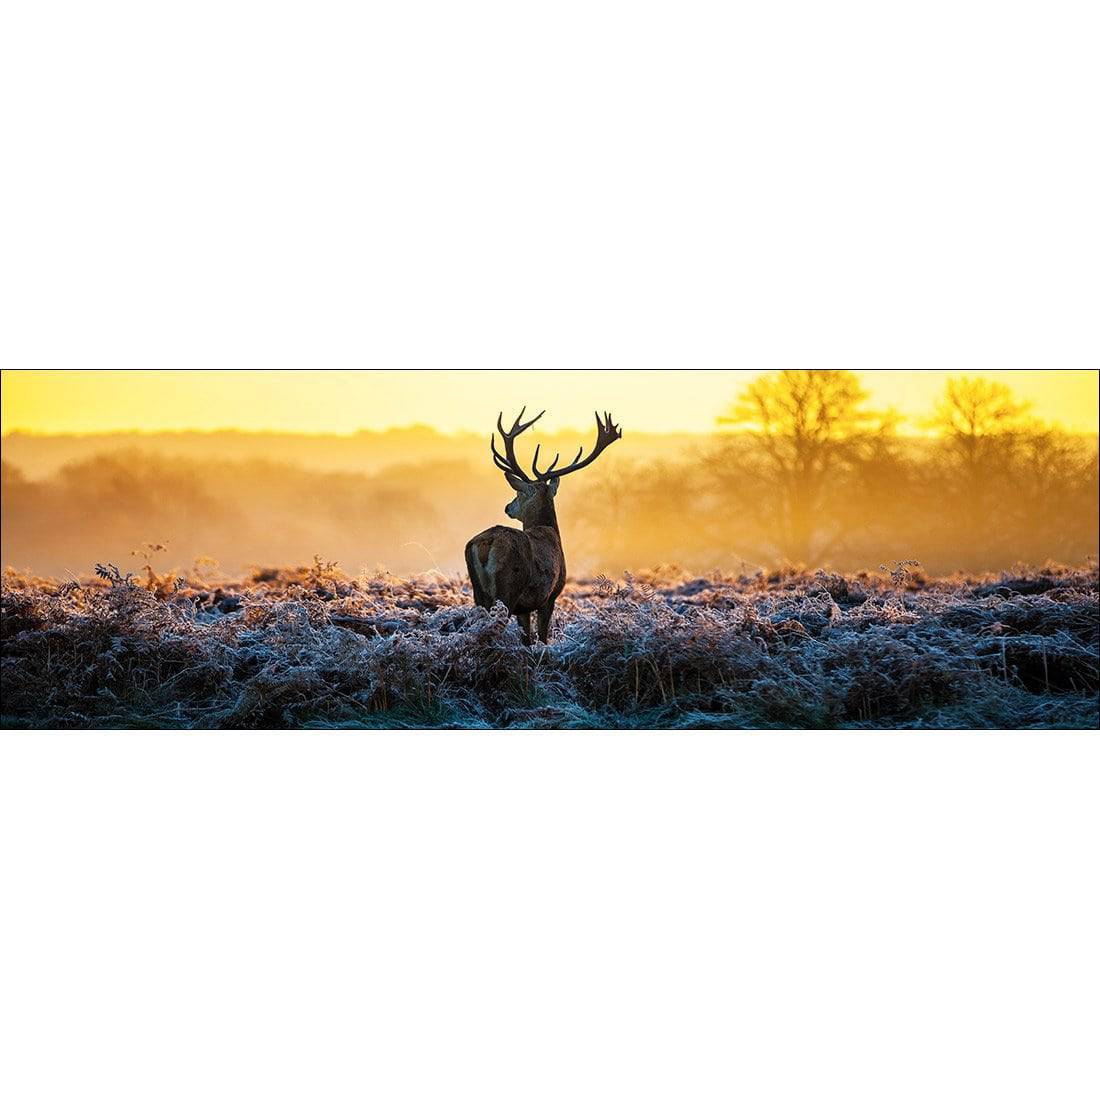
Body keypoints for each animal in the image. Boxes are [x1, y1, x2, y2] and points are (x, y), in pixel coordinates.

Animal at [465, 408, 622, 645]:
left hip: (479, 593)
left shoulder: (524, 608)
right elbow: (542, 637)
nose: (508, 507)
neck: (550, 531)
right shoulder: (550, 595)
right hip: (508, 589)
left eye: (519, 493)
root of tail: (486, 543)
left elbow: (527, 640)